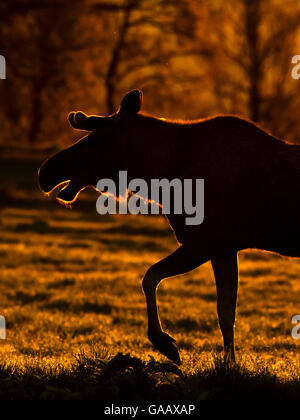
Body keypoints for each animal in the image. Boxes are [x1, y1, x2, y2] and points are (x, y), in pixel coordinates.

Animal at [38, 88, 300, 364]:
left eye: (97, 140)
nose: (46, 171)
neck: (164, 178)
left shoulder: (207, 242)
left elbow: (150, 277)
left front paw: (164, 342)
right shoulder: (223, 248)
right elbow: (225, 312)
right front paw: (230, 363)